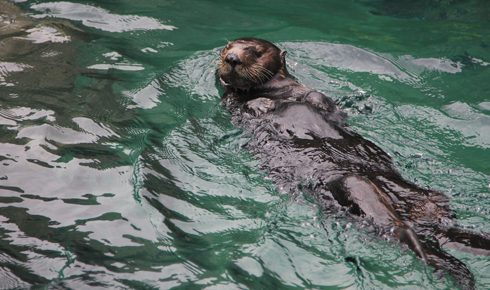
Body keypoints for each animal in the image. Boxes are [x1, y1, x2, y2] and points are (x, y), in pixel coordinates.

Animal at [218, 39, 490, 290]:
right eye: (228, 47)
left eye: (257, 51)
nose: (232, 58)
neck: (273, 92)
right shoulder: (231, 103)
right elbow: (246, 107)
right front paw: (261, 105)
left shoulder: (306, 92)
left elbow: (325, 102)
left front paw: (315, 102)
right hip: (352, 183)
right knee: (392, 223)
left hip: (425, 199)